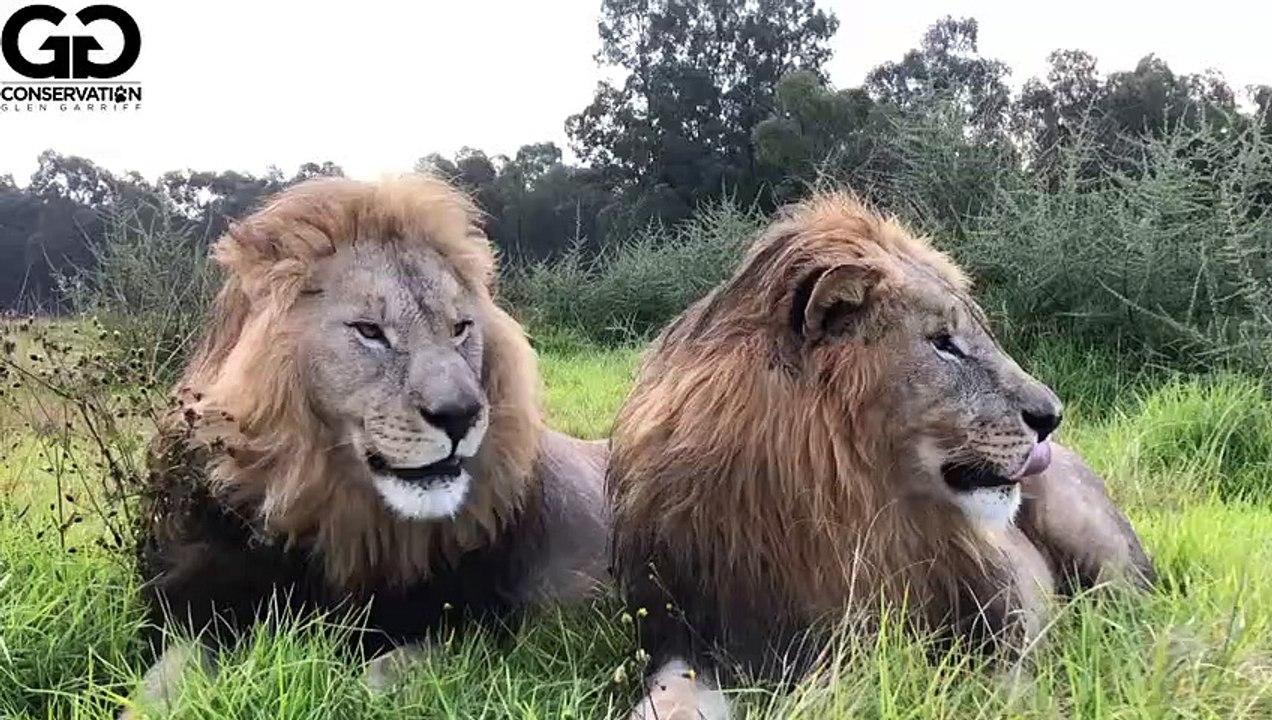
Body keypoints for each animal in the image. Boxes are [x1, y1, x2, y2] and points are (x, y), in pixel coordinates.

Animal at [120, 174, 611, 718]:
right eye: (370, 331)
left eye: (460, 329)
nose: (461, 414)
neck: (346, 519)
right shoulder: (205, 608)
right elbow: (163, 678)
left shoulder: (479, 626)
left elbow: (380, 678)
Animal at [605, 190, 1156, 719]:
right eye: (943, 343)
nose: (1052, 415)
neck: (846, 508)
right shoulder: (692, 633)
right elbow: (671, 693)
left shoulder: (1002, 619)